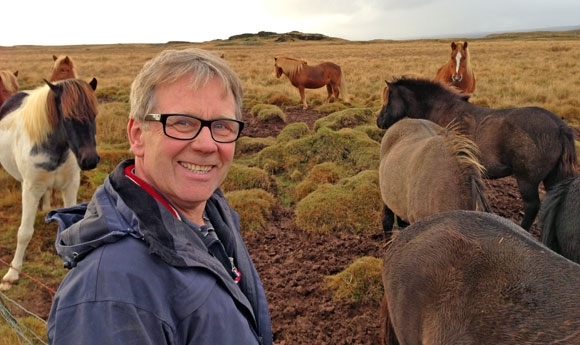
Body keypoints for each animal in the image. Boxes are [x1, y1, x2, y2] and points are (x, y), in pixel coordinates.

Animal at [0, 77, 99, 288]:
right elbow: (24, 233)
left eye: (94, 115)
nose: (90, 160)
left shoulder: (71, 186)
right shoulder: (30, 189)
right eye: (67, 118)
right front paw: (12, 273)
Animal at [376, 76, 576, 230]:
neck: (441, 109)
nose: (379, 121)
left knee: (532, 207)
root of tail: (560, 127)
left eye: (388, 99)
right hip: (552, 179)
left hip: (527, 180)